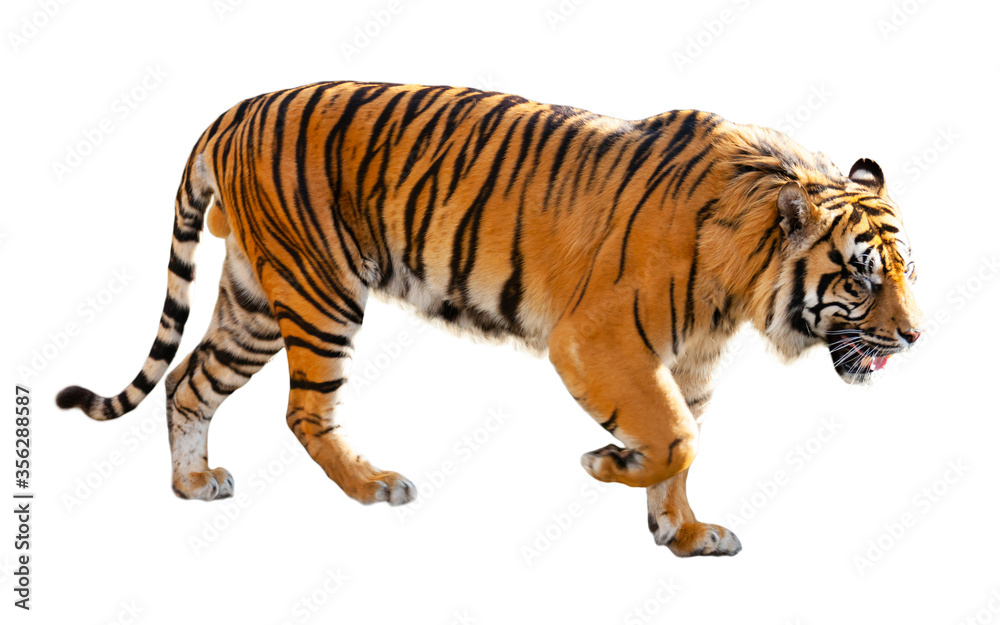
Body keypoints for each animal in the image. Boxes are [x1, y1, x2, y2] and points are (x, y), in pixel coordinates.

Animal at [56, 81, 923, 558]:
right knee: (303, 409)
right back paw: (374, 485)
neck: (741, 283)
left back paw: (193, 483)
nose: (916, 337)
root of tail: (234, 111)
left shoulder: (690, 362)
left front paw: (680, 534)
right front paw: (607, 463)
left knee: (189, 382)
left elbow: (682, 451)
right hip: (320, 290)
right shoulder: (598, 340)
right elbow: (674, 437)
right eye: (861, 275)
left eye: (907, 269)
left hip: (256, 302)